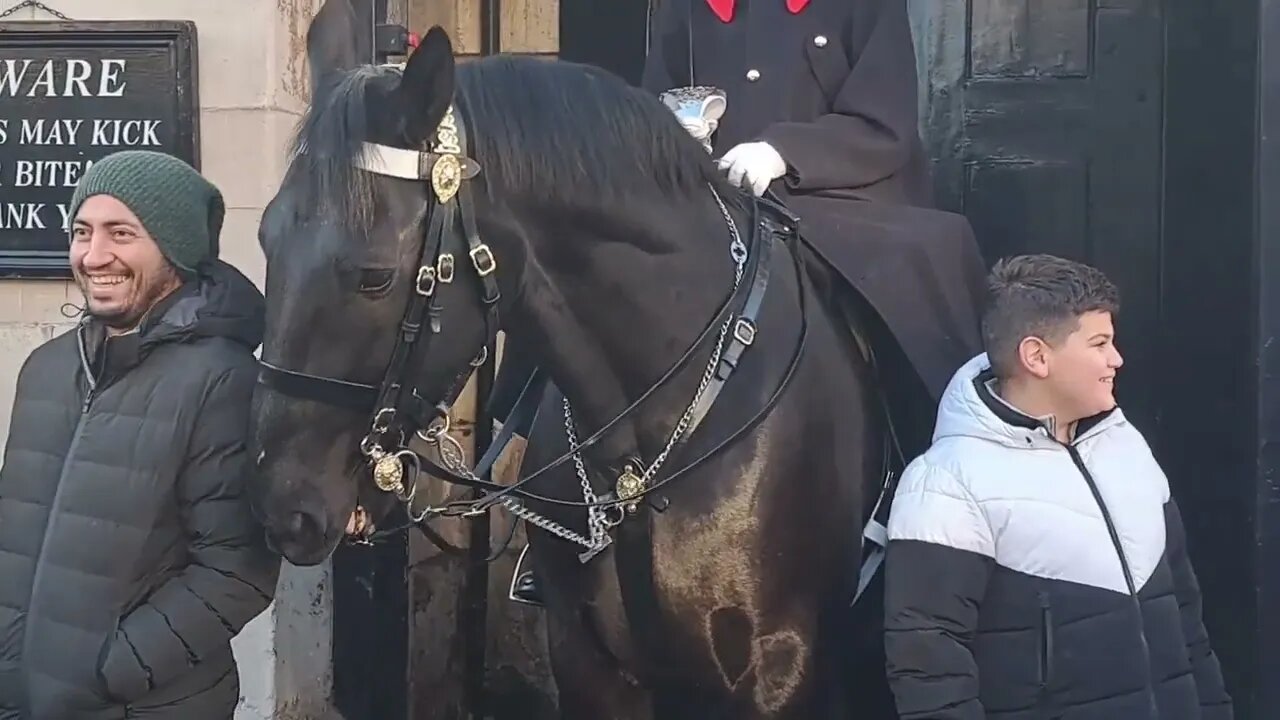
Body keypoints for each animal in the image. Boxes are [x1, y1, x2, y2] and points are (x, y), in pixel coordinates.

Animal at [247, 2, 890, 712]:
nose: (282, 506)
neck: (651, 446)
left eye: (374, 277)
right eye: (266, 239)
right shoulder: (588, 662)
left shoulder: (781, 677)